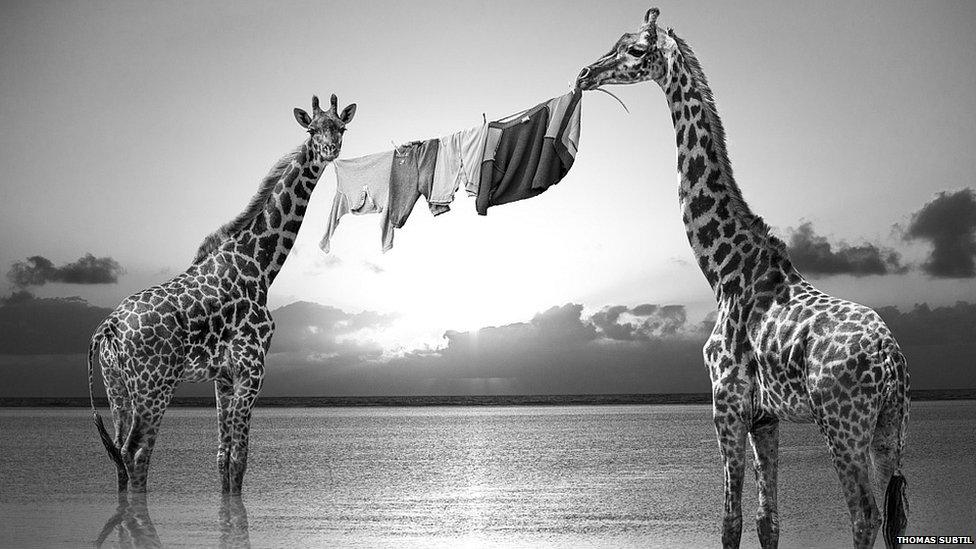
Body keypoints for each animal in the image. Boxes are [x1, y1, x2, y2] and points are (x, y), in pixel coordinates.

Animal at [87, 94, 357, 494]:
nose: (330, 149)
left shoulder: (223, 378)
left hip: (116, 387)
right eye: (311, 129)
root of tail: (108, 329)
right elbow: (240, 459)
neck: (261, 266)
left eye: (341, 127)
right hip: (153, 388)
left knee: (119, 456)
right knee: (135, 454)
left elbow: (222, 459)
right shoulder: (251, 369)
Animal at [577, 9, 909, 549]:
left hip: (842, 424)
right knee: (894, 519)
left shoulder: (726, 404)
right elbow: (766, 520)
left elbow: (730, 521)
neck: (723, 272)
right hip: (891, 428)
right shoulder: (765, 417)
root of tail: (891, 362)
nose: (585, 74)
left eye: (634, 50)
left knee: (865, 515)